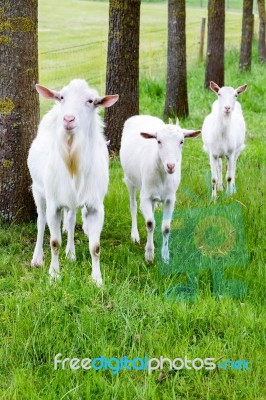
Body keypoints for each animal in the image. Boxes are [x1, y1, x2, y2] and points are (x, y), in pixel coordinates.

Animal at [27, 79, 118, 284]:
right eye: (62, 97)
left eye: (91, 101)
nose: (68, 119)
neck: (72, 163)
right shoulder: (54, 203)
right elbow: (54, 242)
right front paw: (54, 275)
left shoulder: (95, 206)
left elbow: (95, 247)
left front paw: (97, 279)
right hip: (38, 191)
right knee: (41, 221)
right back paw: (37, 258)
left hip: (72, 200)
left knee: (70, 220)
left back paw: (71, 253)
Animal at [119, 115, 201, 262]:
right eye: (158, 141)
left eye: (181, 141)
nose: (171, 166)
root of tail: (142, 115)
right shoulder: (146, 196)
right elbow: (150, 223)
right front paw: (149, 255)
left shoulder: (170, 198)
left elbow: (166, 227)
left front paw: (165, 255)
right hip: (129, 180)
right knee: (133, 205)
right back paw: (135, 235)